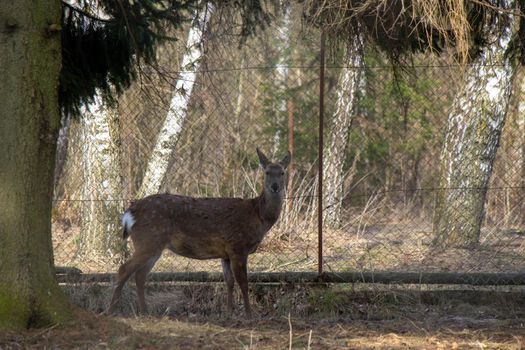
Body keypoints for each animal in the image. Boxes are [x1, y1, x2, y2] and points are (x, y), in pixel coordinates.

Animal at [104, 148, 288, 318]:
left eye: (282, 172)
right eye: (267, 172)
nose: (275, 187)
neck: (258, 216)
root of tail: (129, 213)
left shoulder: (226, 252)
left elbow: (229, 281)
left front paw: (229, 311)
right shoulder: (238, 246)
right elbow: (243, 282)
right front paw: (249, 314)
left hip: (153, 245)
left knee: (140, 275)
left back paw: (144, 312)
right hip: (148, 240)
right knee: (124, 269)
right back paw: (111, 310)